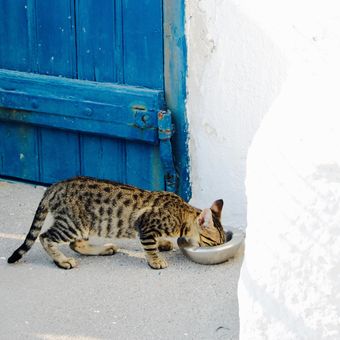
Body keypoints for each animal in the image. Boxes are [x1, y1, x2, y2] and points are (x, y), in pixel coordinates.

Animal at [7, 177, 227, 270]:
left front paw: (164, 243)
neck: (182, 213)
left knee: (76, 244)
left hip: (83, 225)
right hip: (72, 224)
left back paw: (104, 249)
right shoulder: (145, 226)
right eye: (214, 244)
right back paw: (62, 261)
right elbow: (149, 246)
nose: (218, 247)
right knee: (46, 237)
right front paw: (155, 260)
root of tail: (53, 187)